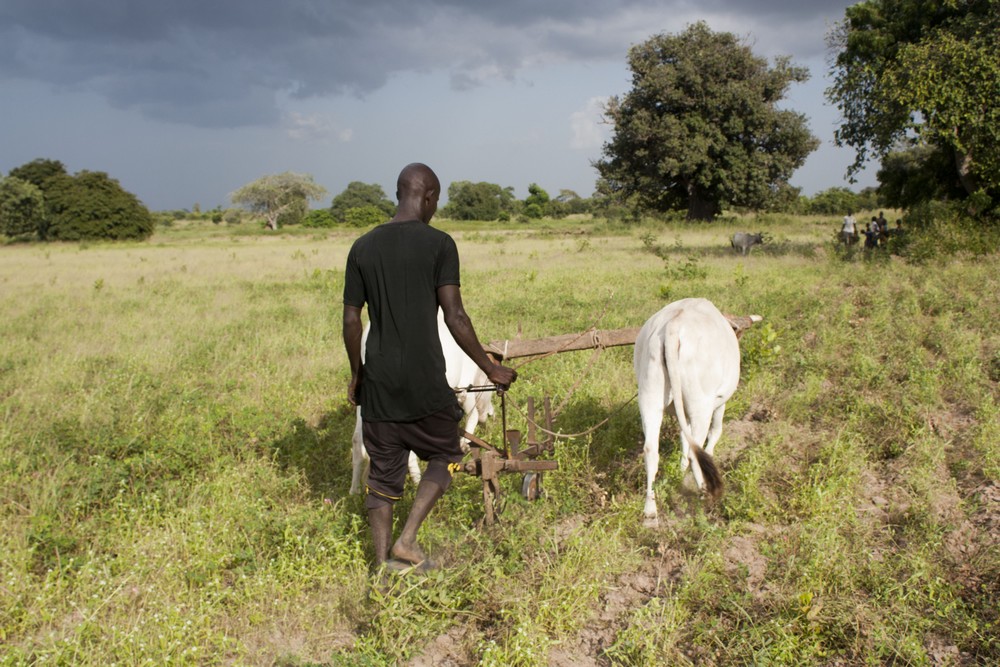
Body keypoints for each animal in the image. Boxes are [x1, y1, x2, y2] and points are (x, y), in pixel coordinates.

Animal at [350, 310, 494, 496]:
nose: (491, 415)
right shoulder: (463, 389)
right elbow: (472, 417)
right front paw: (464, 444)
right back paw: (418, 484)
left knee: (357, 441)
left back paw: (355, 490)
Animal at [632, 300, 756, 524]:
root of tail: (673, 325)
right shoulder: (719, 402)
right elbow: (715, 432)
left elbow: (683, 437)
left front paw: (680, 472)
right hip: (702, 404)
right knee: (695, 451)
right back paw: (705, 490)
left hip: (649, 395)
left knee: (651, 450)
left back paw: (650, 509)